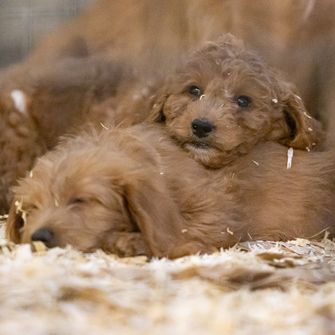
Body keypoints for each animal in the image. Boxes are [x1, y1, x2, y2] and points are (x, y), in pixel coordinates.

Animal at [4, 124, 335, 258]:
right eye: (29, 209)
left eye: (81, 200)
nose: (39, 237)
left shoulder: (212, 213)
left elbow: (180, 237)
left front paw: (128, 242)